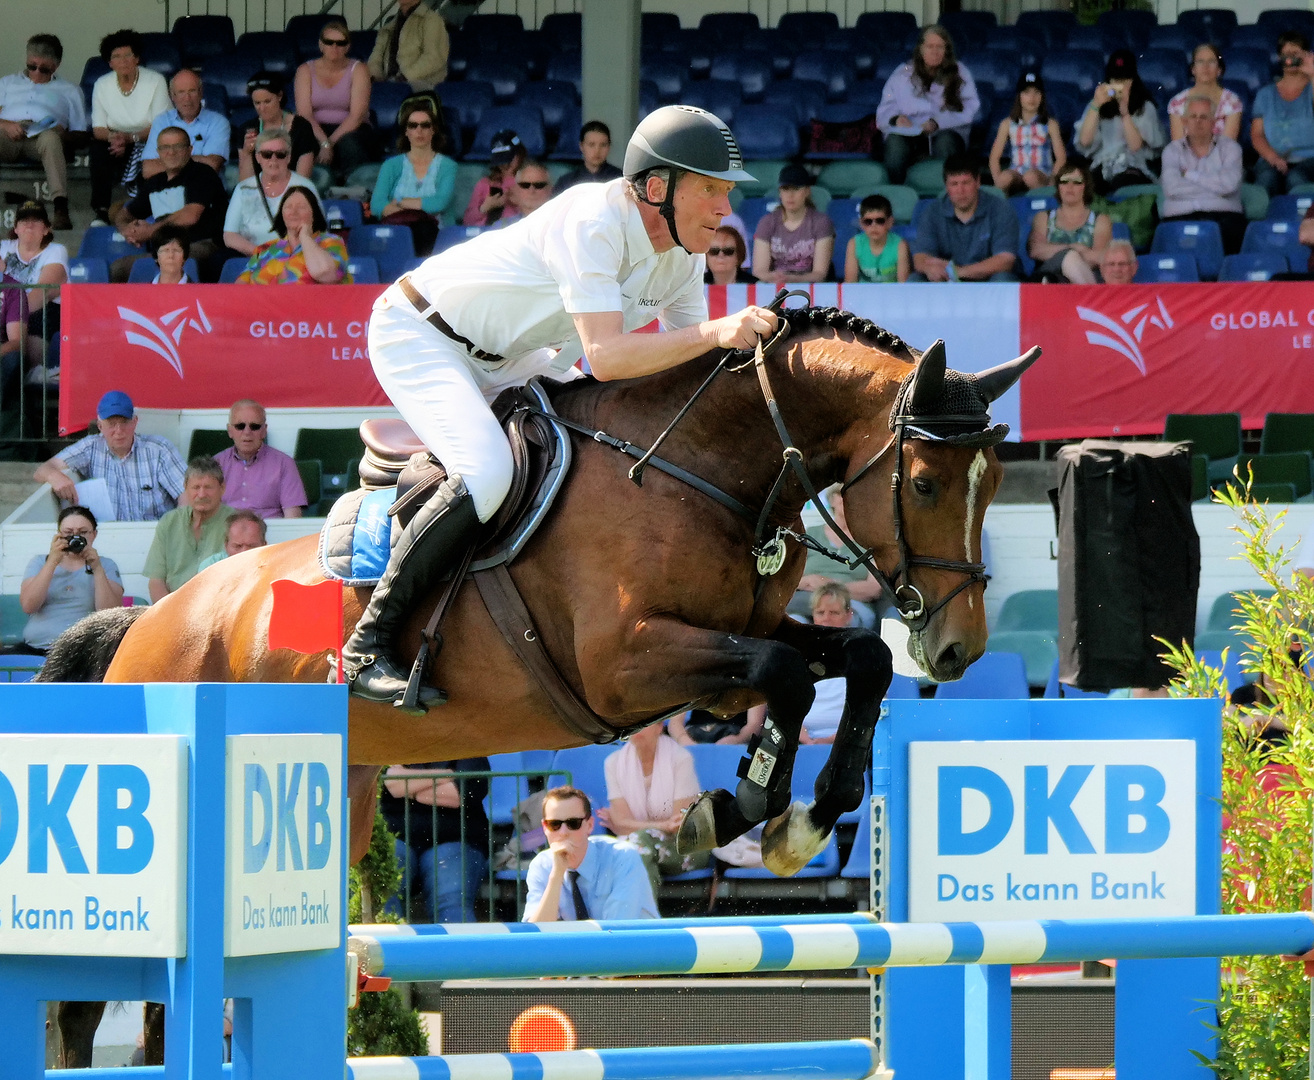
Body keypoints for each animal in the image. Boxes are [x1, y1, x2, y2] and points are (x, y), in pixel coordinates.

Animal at [41, 304, 1035, 1066]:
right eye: (923, 481)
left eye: (995, 485)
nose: (956, 650)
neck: (703, 470)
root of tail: (148, 619)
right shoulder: (626, 663)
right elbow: (785, 675)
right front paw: (741, 811)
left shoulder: (735, 641)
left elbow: (856, 660)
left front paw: (800, 817)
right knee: (98, 992)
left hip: (345, 793)